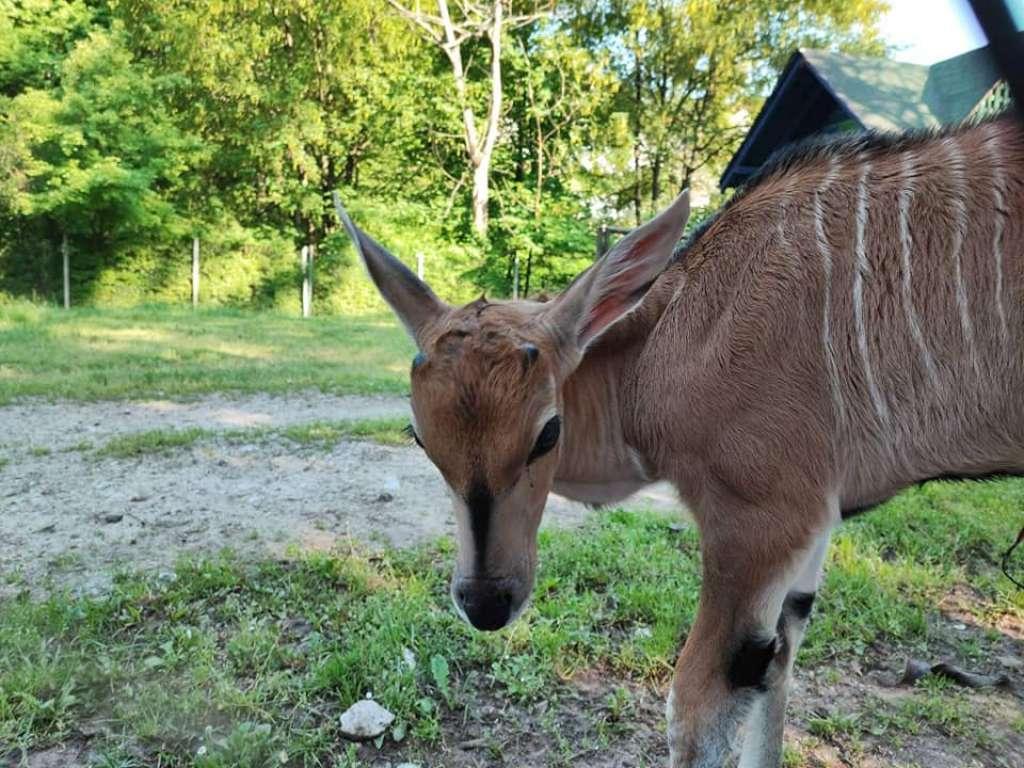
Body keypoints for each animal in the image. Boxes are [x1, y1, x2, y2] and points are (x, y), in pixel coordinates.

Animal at [337, 115, 1024, 768]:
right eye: (420, 438)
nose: (485, 603)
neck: (668, 342)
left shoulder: (758, 520)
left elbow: (698, 709)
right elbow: (779, 661)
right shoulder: (814, 523)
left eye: (548, 432)